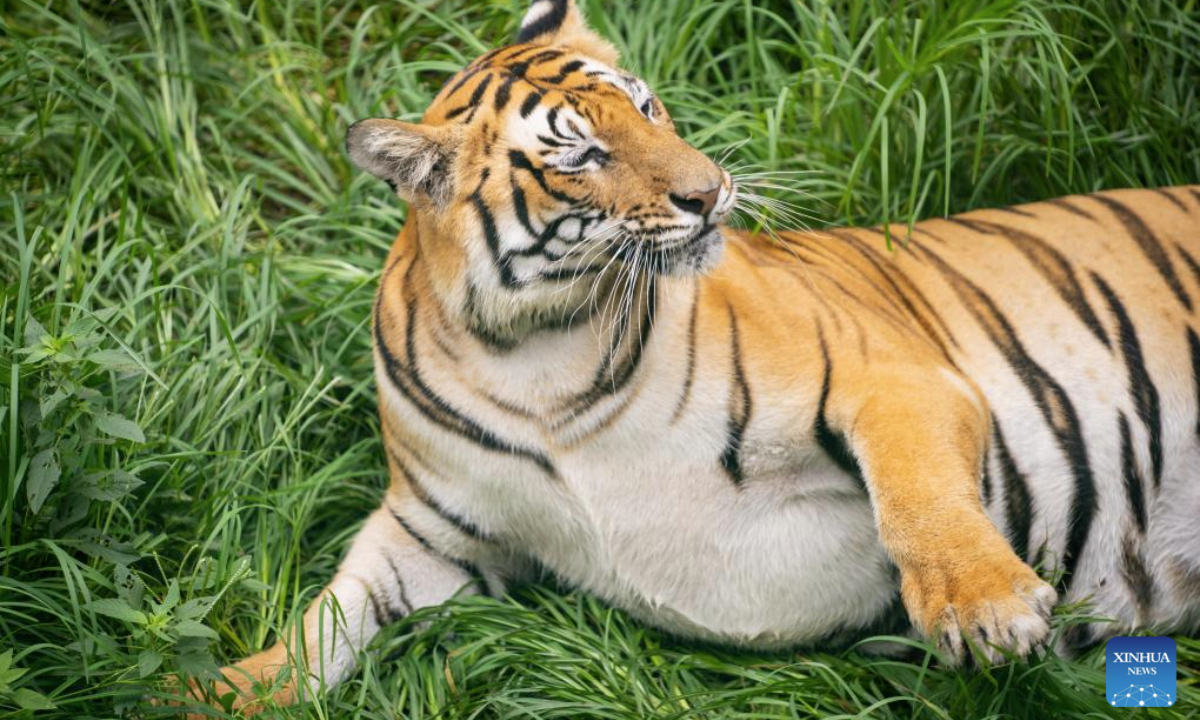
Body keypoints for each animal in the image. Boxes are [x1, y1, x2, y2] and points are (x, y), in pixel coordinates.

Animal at [193, 0, 1200, 713]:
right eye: (581, 155)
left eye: (649, 107)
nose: (709, 192)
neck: (537, 350)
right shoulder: (432, 532)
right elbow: (330, 620)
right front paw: (212, 690)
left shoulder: (889, 376)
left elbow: (920, 498)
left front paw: (983, 605)